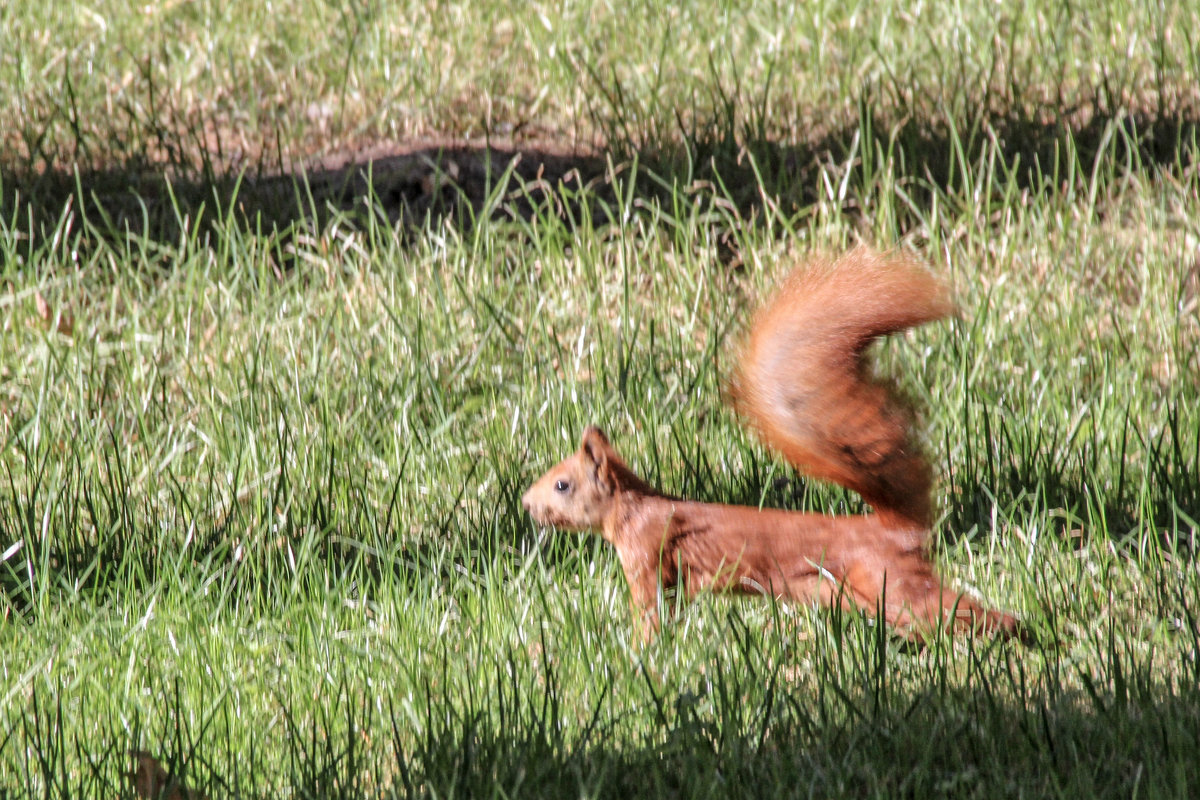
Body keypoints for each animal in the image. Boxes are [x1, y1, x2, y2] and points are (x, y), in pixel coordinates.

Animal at [523, 247, 1022, 642]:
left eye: (563, 484)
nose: (527, 504)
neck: (634, 510)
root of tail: (894, 530)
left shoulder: (648, 558)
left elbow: (649, 616)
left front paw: (640, 654)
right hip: (852, 594)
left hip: (892, 586)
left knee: (953, 611)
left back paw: (1012, 630)